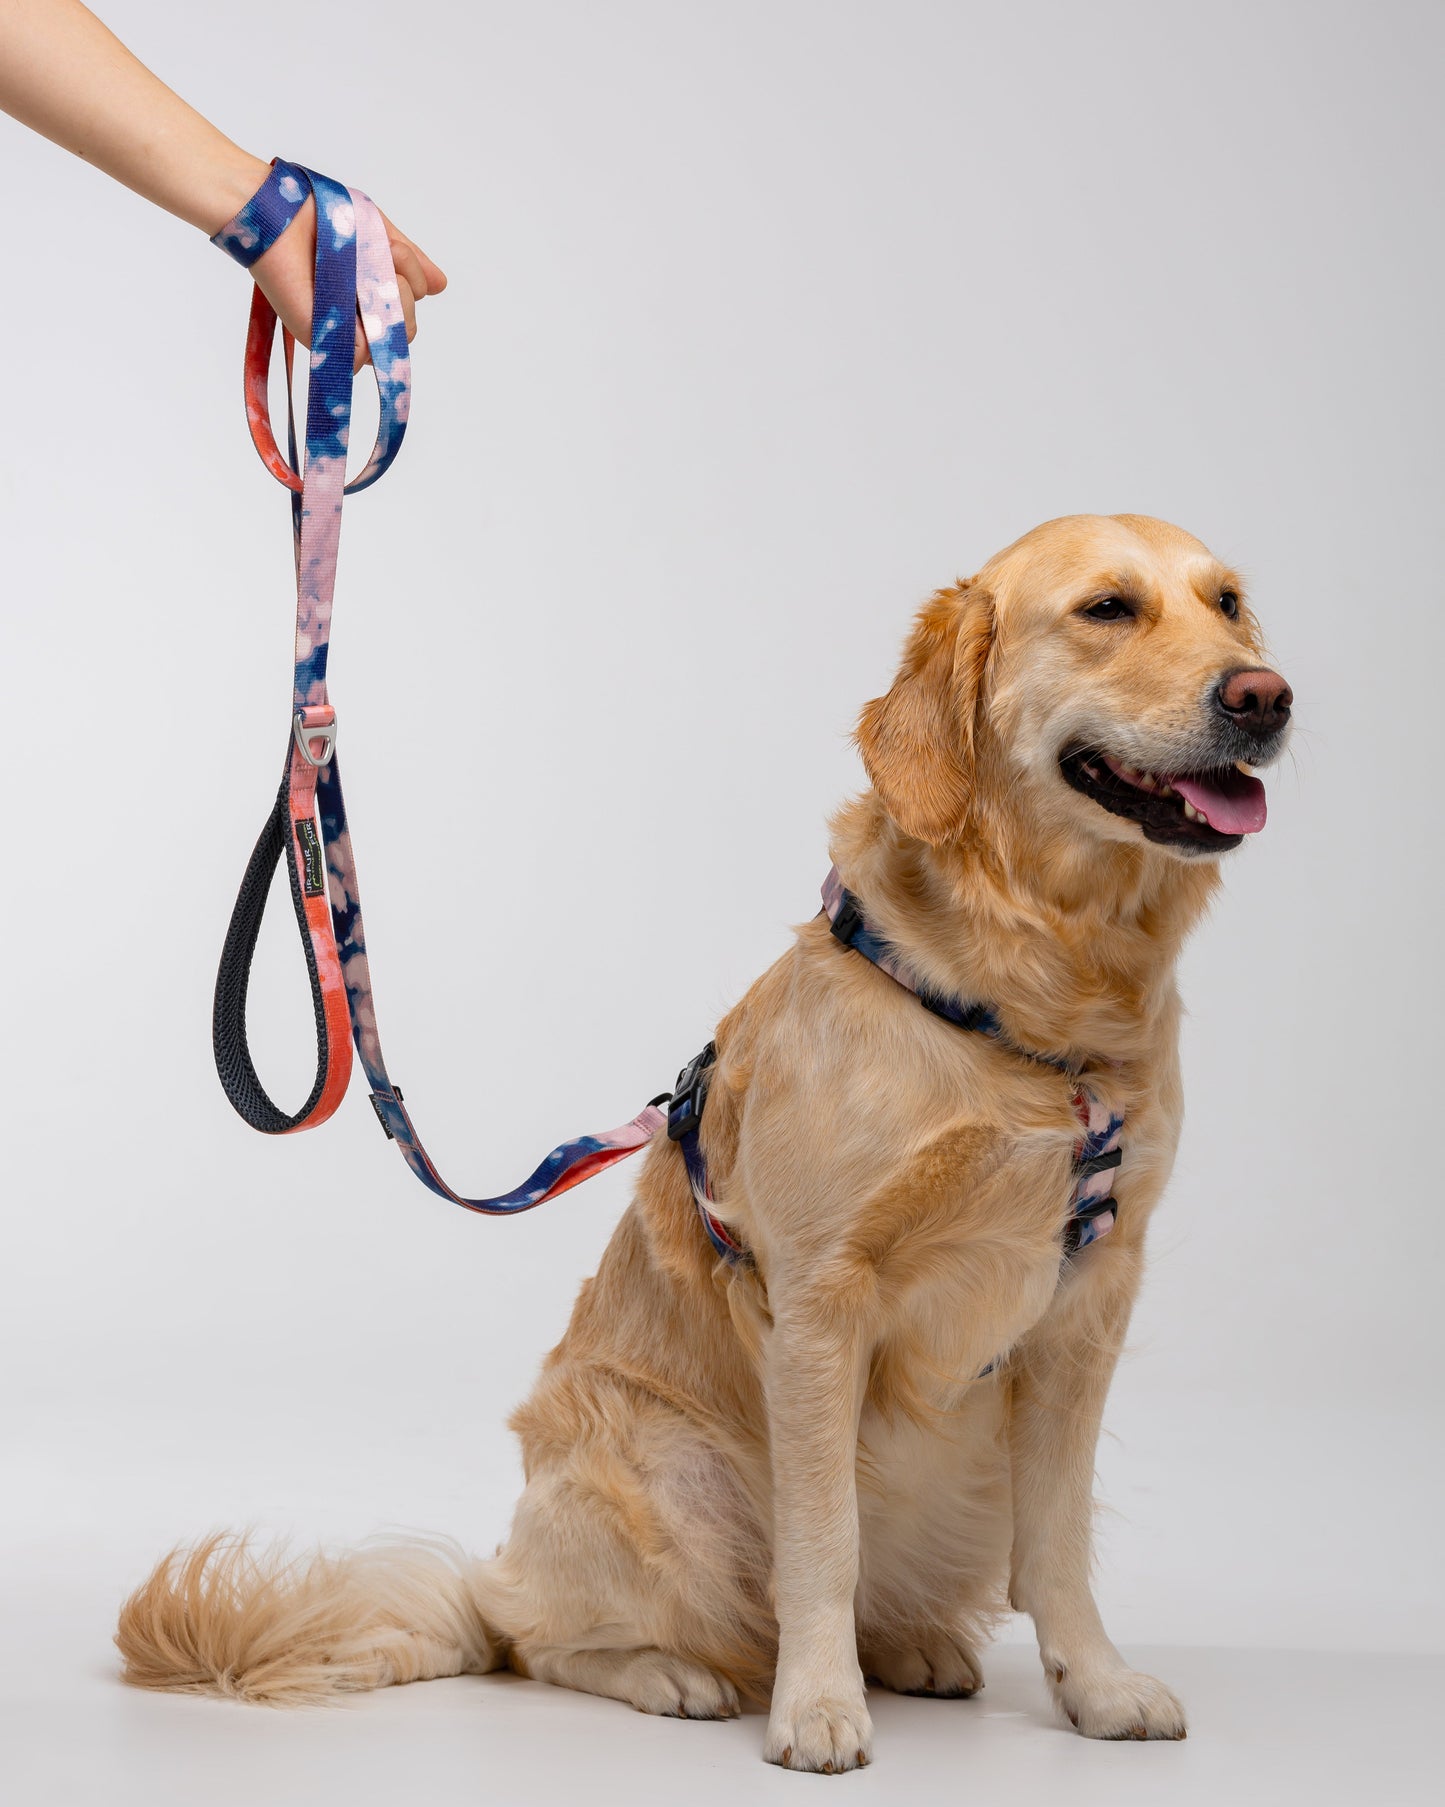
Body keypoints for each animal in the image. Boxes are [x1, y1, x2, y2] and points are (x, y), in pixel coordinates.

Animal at [121, 516, 1300, 1770]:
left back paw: (912, 1649)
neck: (1030, 1014)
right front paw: (816, 1707)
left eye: (1227, 603)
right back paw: (673, 1674)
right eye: (1105, 609)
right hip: (664, 1471)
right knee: (539, 1639)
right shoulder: (821, 1299)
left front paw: (1096, 1687)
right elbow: (821, 1546)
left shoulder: (1089, 1307)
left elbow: (1060, 1546)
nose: (1262, 695)